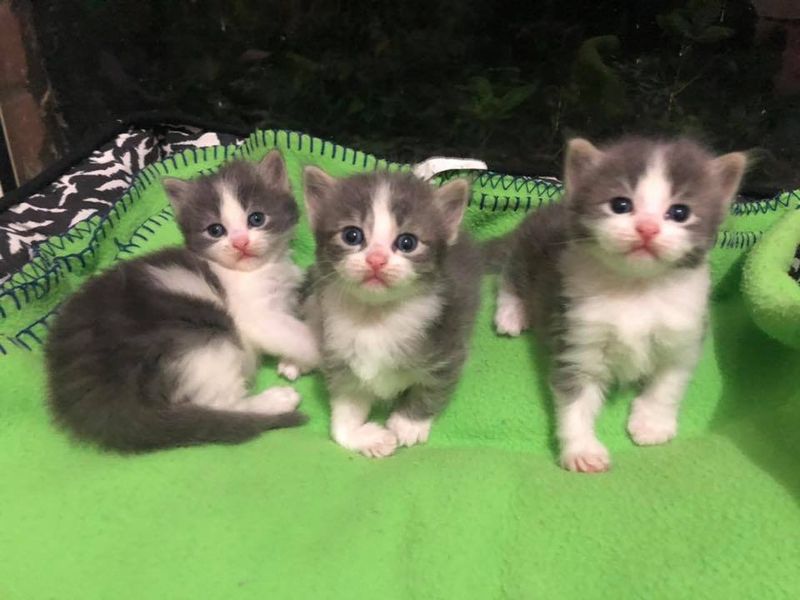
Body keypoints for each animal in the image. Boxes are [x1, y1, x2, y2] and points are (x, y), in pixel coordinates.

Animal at [46, 152, 318, 452]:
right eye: (215, 230)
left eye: (256, 218)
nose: (240, 243)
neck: (257, 269)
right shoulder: (255, 316)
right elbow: (297, 334)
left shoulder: (283, 300)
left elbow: (295, 325)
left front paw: (293, 363)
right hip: (203, 344)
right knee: (223, 403)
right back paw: (276, 401)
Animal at [302, 169, 482, 460]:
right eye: (352, 235)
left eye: (407, 242)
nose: (376, 259)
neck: (376, 317)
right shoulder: (341, 357)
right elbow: (342, 416)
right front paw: (364, 438)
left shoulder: (447, 348)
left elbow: (432, 389)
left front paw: (408, 424)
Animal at [496, 137, 748, 474]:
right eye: (621, 205)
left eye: (680, 212)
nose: (647, 228)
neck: (636, 289)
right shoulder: (576, 333)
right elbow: (574, 398)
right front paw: (581, 449)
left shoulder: (684, 334)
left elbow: (669, 383)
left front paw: (653, 424)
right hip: (528, 250)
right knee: (510, 276)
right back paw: (511, 313)